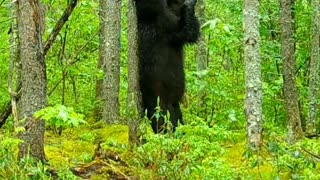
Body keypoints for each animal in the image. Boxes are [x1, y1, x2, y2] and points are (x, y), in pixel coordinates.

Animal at [135, 0, 200, 133]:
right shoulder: (162, 25)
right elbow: (184, 30)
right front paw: (189, 5)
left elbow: (192, 32)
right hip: (156, 97)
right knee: (160, 117)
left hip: (173, 103)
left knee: (176, 116)